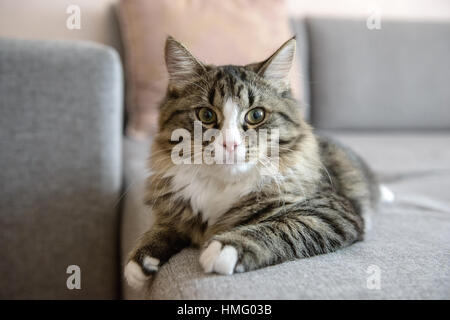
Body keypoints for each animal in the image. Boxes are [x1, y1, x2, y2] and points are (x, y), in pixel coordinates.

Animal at [125, 36, 382, 288]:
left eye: (256, 115)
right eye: (206, 115)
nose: (230, 144)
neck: (222, 186)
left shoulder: (329, 212)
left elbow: (283, 227)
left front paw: (228, 247)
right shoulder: (176, 209)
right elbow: (162, 229)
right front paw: (139, 261)